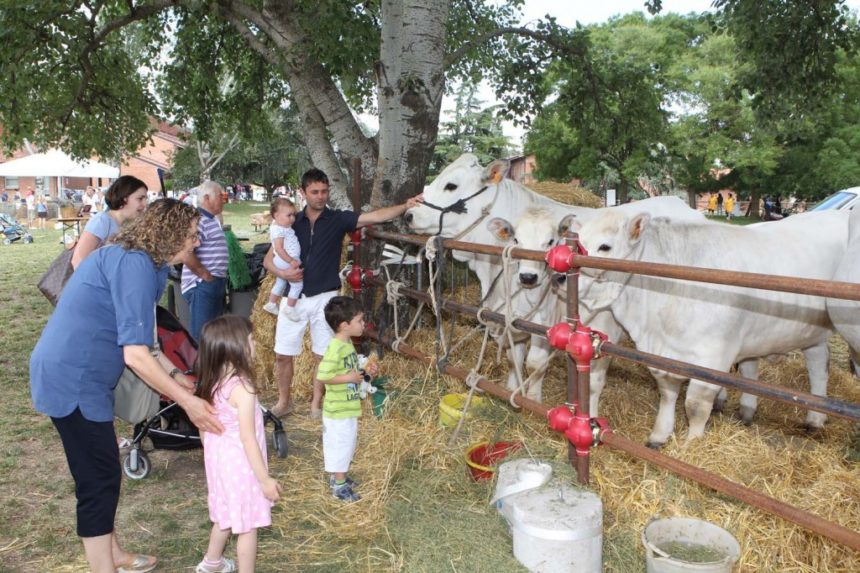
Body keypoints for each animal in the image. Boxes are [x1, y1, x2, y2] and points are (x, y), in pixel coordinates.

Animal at [576, 208, 848, 444]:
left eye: (605, 246)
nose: (565, 276)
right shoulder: (663, 356)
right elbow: (667, 391)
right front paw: (659, 436)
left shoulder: (713, 356)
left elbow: (696, 404)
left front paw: (691, 445)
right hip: (810, 331)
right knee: (816, 362)